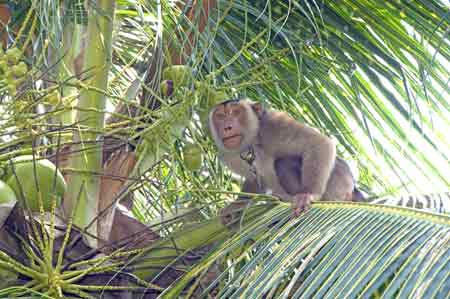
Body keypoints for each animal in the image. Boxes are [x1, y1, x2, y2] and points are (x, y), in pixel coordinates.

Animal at [209, 98, 364, 227]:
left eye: (236, 112)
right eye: (220, 116)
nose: (227, 127)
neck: (251, 141)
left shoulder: (275, 125)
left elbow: (318, 143)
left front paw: (309, 194)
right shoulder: (228, 154)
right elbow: (254, 181)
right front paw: (236, 206)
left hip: (338, 185)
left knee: (283, 162)